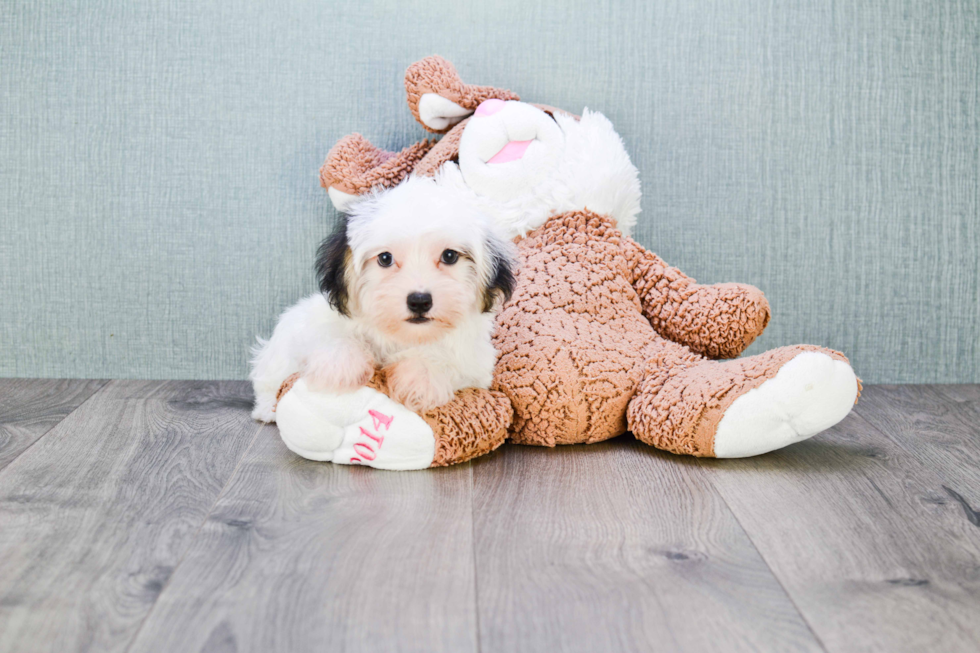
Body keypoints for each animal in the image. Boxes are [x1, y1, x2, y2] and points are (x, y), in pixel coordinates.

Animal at [249, 173, 516, 420]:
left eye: (449, 256)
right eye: (385, 258)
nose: (419, 301)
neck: (402, 336)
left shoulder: (475, 367)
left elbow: (443, 362)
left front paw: (421, 376)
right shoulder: (317, 323)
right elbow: (329, 336)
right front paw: (339, 365)